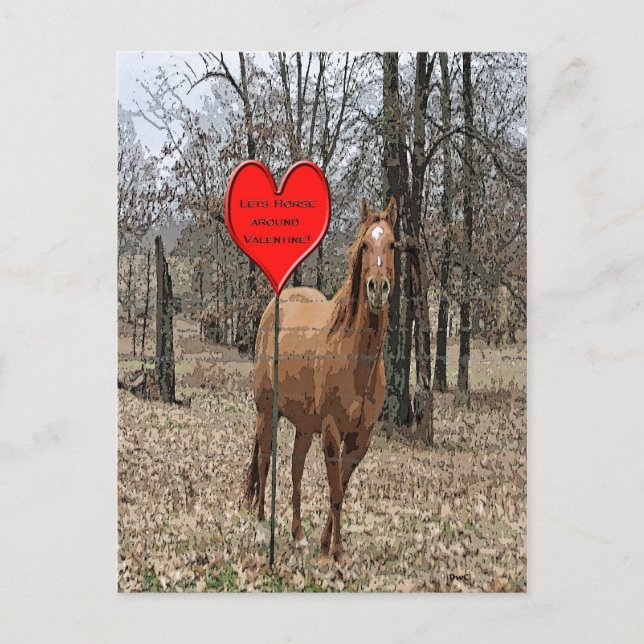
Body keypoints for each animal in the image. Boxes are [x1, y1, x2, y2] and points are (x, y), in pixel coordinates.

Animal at [245, 196, 397, 563]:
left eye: (392, 244)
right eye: (365, 245)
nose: (377, 289)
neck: (357, 359)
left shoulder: (361, 438)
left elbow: (339, 486)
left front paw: (326, 543)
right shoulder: (330, 430)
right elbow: (336, 490)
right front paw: (336, 552)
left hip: (303, 426)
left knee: (295, 469)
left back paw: (298, 536)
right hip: (266, 413)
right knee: (264, 462)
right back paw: (261, 530)